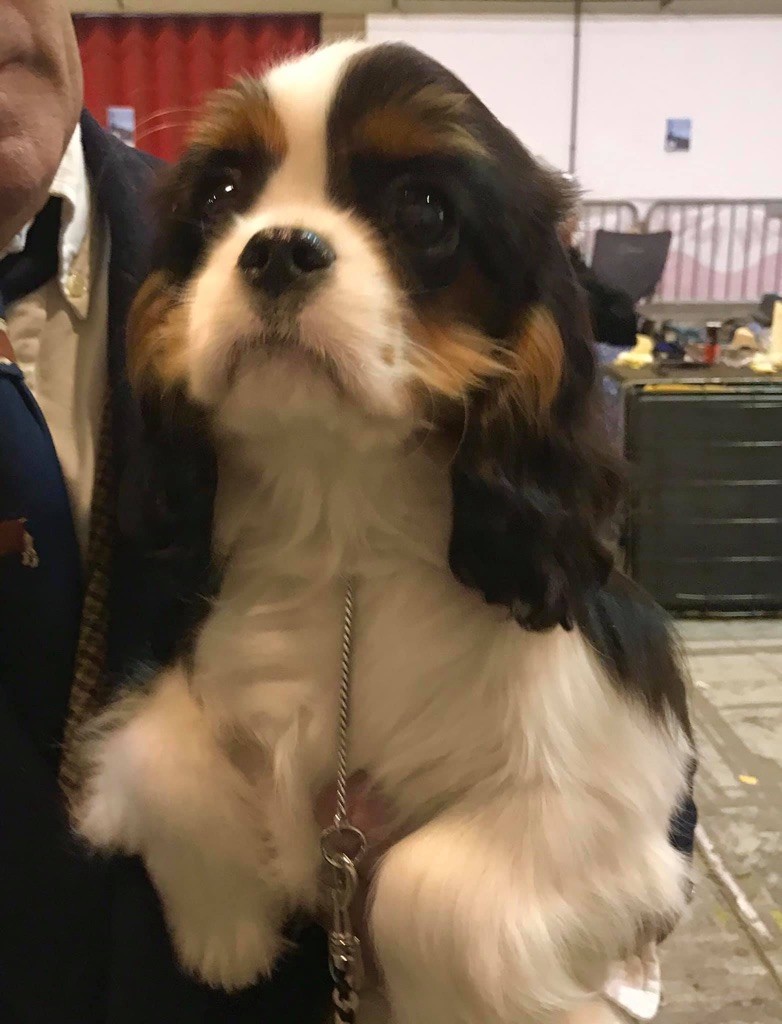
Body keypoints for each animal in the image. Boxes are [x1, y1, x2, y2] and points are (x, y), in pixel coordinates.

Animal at [75, 41, 694, 1024]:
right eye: (220, 195)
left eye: (424, 209)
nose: (277, 248)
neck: (345, 531)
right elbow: (159, 755)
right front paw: (224, 935)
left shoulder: (610, 787)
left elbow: (427, 885)